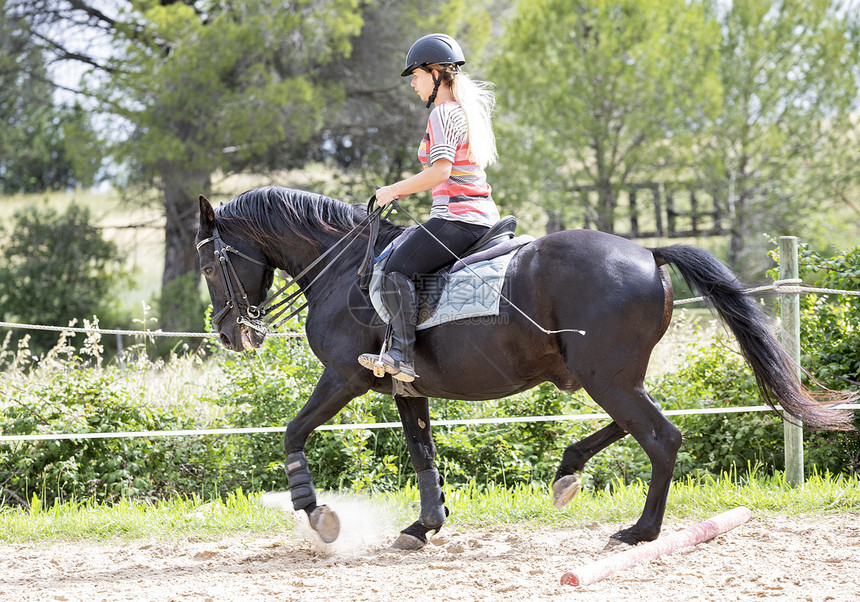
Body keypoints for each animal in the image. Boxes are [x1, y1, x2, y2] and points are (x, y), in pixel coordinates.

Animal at [197, 186, 852, 548]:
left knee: (661, 436)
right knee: (639, 426)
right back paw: (568, 471)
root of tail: (647, 252)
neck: (341, 269)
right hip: (614, 375)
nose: (231, 333)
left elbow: (293, 431)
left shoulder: (345, 377)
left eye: (207, 264)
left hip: (607, 377)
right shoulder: (405, 388)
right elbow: (421, 452)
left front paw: (316, 513)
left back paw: (639, 532)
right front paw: (425, 526)